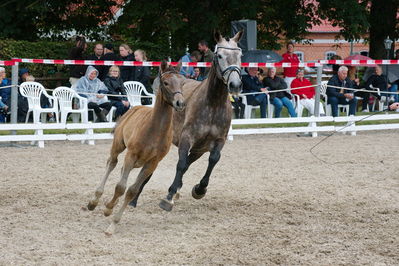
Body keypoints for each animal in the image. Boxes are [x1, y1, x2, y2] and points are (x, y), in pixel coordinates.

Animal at [87, 62, 186, 235]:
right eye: (166, 83)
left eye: (182, 83)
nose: (180, 103)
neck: (155, 130)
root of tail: (133, 108)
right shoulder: (131, 155)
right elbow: (120, 187)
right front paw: (108, 213)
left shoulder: (152, 163)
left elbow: (132, 190)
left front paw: (112, 219)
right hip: (119, 146)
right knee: (111, 163)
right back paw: (95, 200)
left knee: (120, 171)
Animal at [159, 30, 244, 211]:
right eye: (220, 55)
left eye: (240, 55)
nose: (235, 85)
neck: (213, 104)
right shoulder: (186, 138)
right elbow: (181, 163)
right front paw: (168, 197)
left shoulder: (217, 141)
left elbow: (213, 159)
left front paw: (199, 189)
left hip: (199, 149)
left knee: (189, 162)